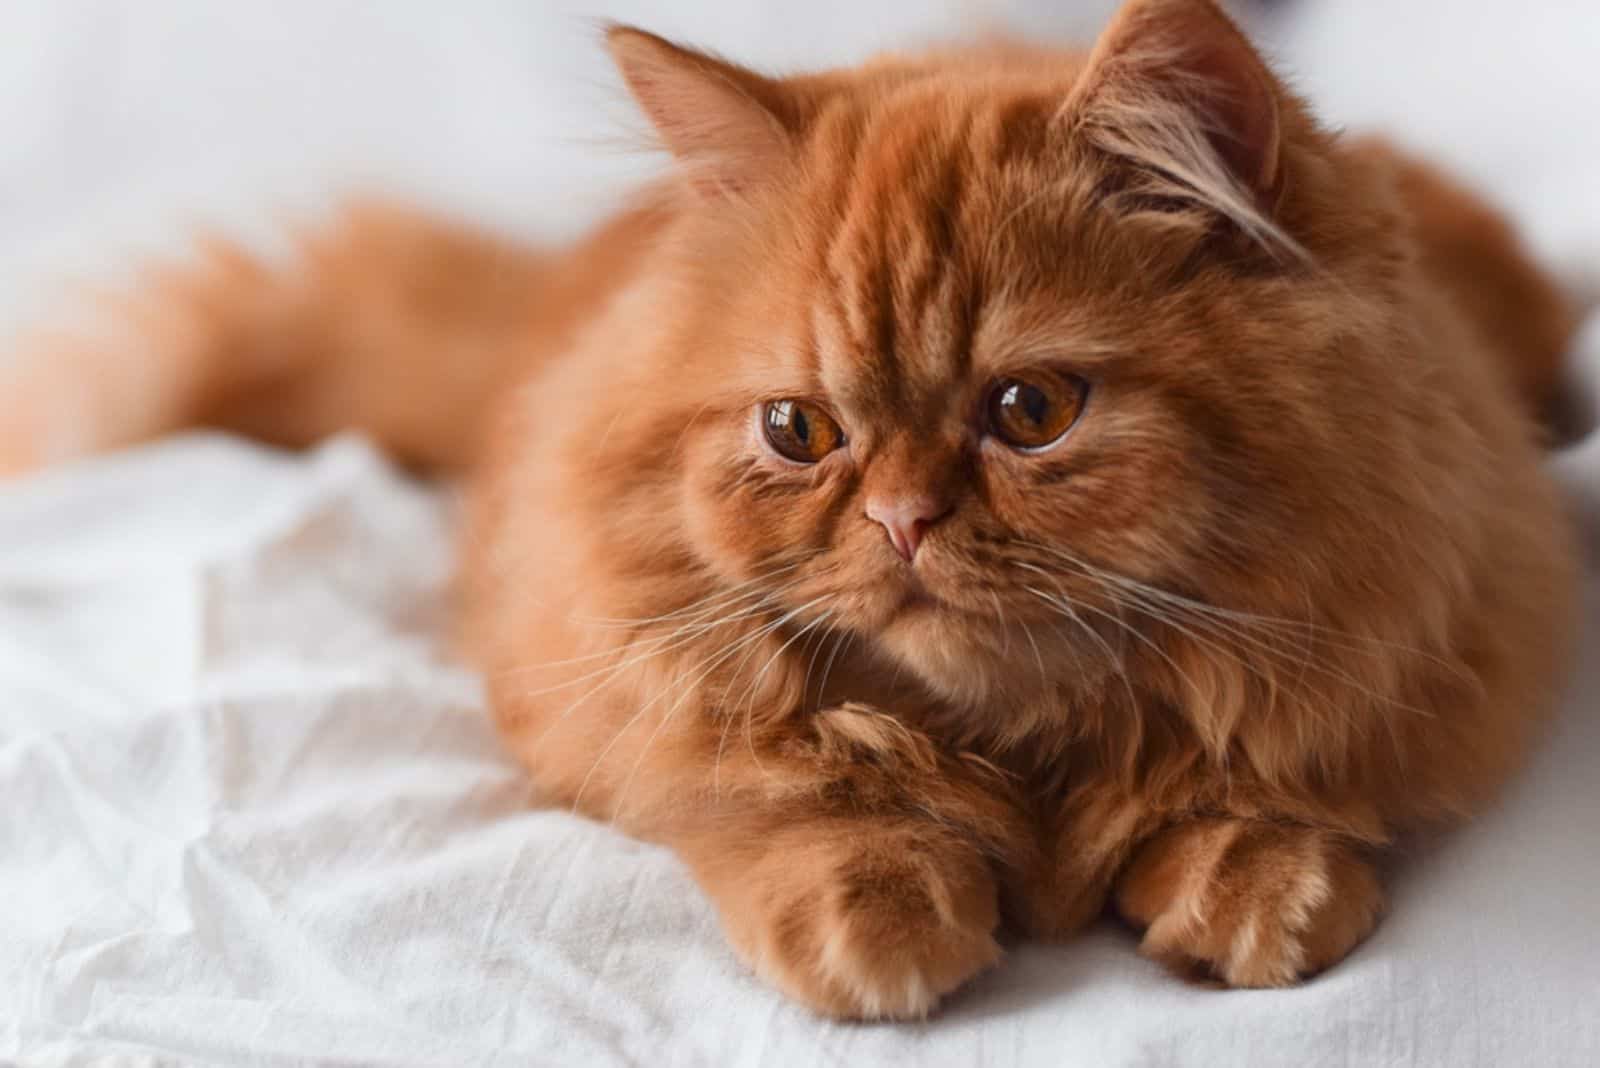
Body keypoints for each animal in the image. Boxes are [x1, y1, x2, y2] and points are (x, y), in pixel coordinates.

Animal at [0, 0, 1580, 1016]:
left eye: (1031, 412)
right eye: (799, 432)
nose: (900, 522)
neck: (1028, 750)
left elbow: (1270, 767)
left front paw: (1258, 882)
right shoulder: (603, 662)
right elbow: (780, 777)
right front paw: (874, 910)